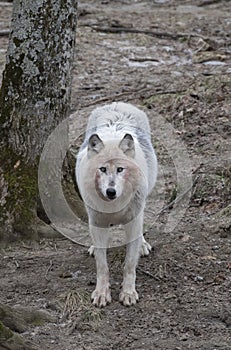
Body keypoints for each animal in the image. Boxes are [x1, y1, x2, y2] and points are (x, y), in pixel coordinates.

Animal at [75, 101, 157, 306]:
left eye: (120, 169)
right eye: (102, 169)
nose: (110, 192)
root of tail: (118, 103)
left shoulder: (133, 222)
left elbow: (129, 264)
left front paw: (128, 293)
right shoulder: (97, 223)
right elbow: (102, 265)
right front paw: (101, 293)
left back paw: (143, 245)